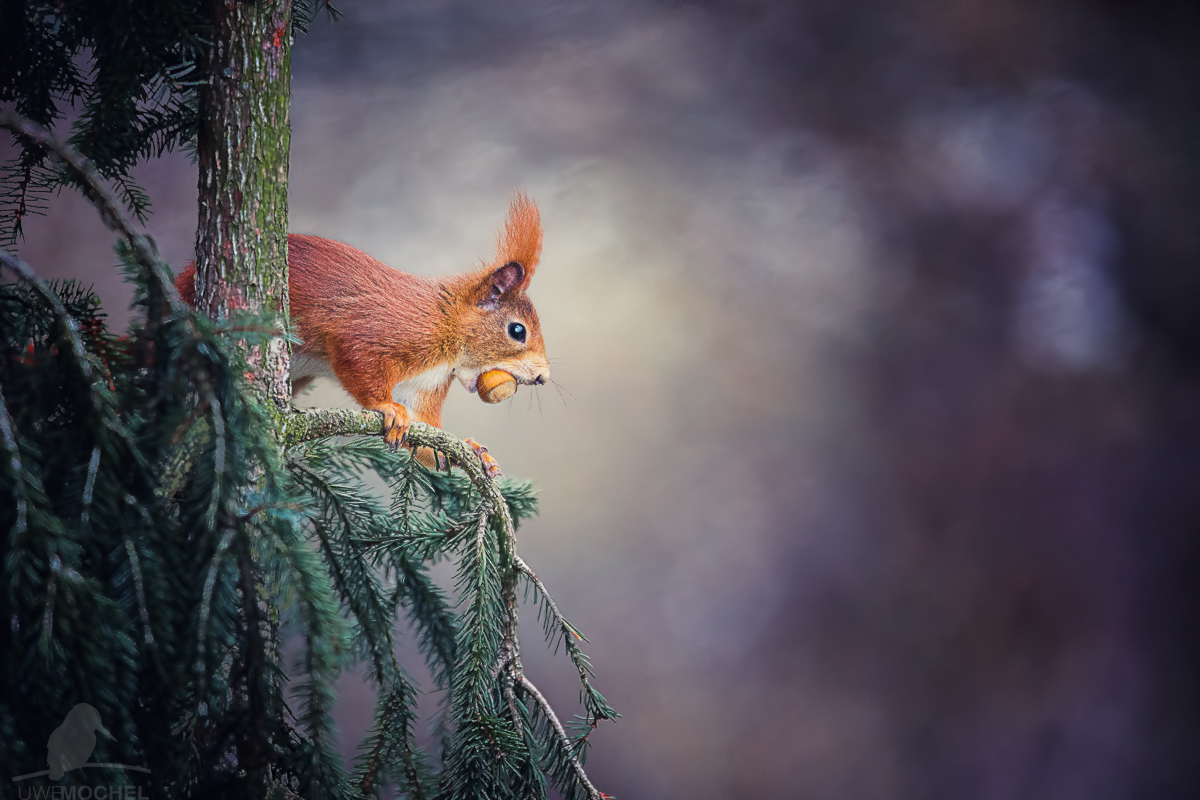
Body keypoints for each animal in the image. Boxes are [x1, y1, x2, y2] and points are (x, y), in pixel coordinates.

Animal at [175, 193, 550, 473]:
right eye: (517, 331)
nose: (544, 377)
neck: (449, 326)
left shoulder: (425, 386)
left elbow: (428, 440)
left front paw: (470, 451)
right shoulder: (382, 331)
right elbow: (357, 360)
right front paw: (388, 408)